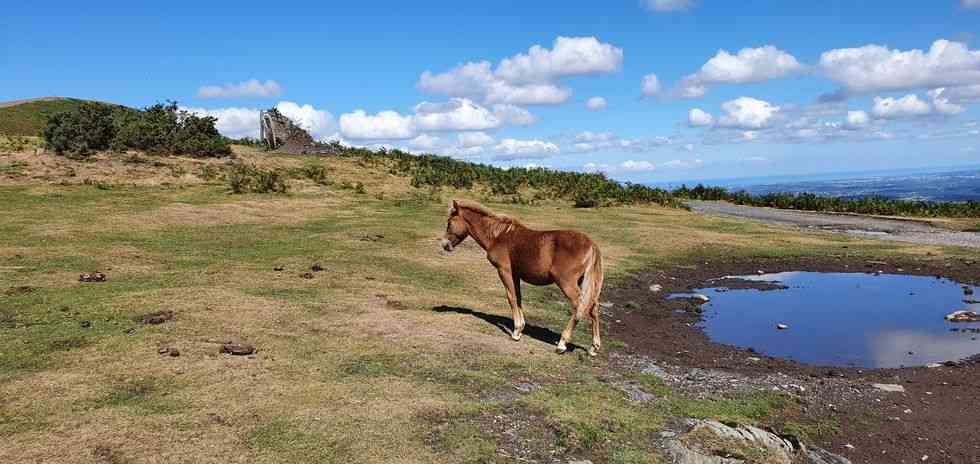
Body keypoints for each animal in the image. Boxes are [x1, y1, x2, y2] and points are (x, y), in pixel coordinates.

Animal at [440, 199, 604, 356]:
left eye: (449, 223)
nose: (444, 245)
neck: (498, 236)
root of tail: (591, 244)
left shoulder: (504, 271)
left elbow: (511, 297)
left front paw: (516, 332)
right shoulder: (516, 274)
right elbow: (518, 298)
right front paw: (521, 328)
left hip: (566, 283)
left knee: (579, 306)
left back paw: (562, 344)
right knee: (593, 307)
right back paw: (593, 348)